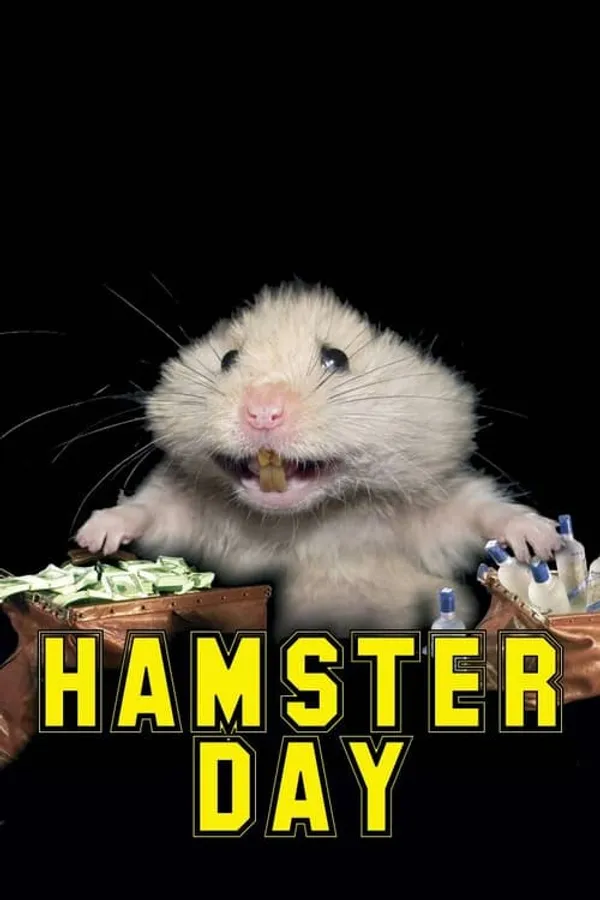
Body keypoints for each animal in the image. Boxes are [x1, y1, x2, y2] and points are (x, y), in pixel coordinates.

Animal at [76, 283, 561, 637]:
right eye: (227, 359)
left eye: (336, 358)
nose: (262, 413)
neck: (305, 521)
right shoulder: (192, 516)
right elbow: (152, 510)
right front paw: (93, 537)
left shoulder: (429, 516)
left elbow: (479, 511)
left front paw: (545, 540)